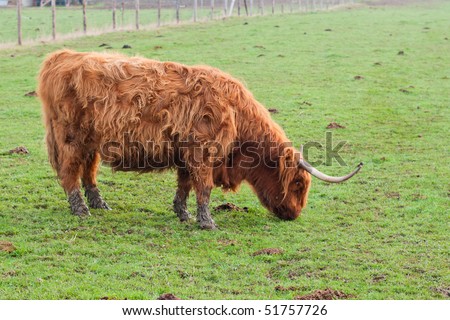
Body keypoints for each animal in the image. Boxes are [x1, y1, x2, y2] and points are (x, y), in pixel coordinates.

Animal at [37, 50, 362, 229]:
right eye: (297, 185)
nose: (295, 215)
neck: (236, 113)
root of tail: (62, 56)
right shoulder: (203, 153)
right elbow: (203, 188)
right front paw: (207, 222)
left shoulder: (186, 154)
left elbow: (185, 186)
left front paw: (183, 214)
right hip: (70, 139)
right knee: (70, 173)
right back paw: (81, 209)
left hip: (92, 142)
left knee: (89, 172)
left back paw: (100, 204)